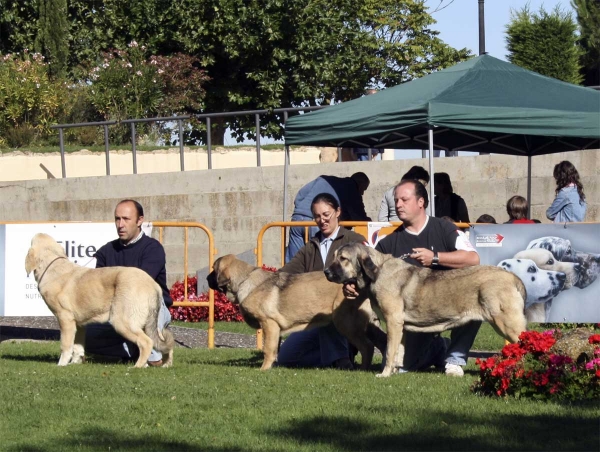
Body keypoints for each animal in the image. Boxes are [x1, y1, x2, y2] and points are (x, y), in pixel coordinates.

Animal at [25, 233, 173, 368]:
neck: (52, 267)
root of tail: (153, 284)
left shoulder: (65, 319)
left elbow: (66, 346)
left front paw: (61, 365)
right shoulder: (79, 324)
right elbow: (78, 347)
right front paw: (75, 363)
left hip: (122, 322)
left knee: (147, 342)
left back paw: (137, 366)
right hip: (145, 323)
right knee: (164, 342)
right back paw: (165, 364)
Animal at [209, 254, 382, 370]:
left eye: (213, 270)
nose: (206, 278)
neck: (244, 280)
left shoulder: (269, 324)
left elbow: (268, 349)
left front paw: (263, 369)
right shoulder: (274, 329)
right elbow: (274, 349)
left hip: (345, 322)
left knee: (367, 347)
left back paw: (362, 369)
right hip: (367, 325)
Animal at [326, 244, 528, 378]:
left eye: (343, 258)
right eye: (335, 256)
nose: (326, 272)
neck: (377, 272)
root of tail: (512, 276)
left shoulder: (393, 322)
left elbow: (390, 351)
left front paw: (384, 374)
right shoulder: (400, 326)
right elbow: (398, 351)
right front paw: (396, 371)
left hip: (506, 323)